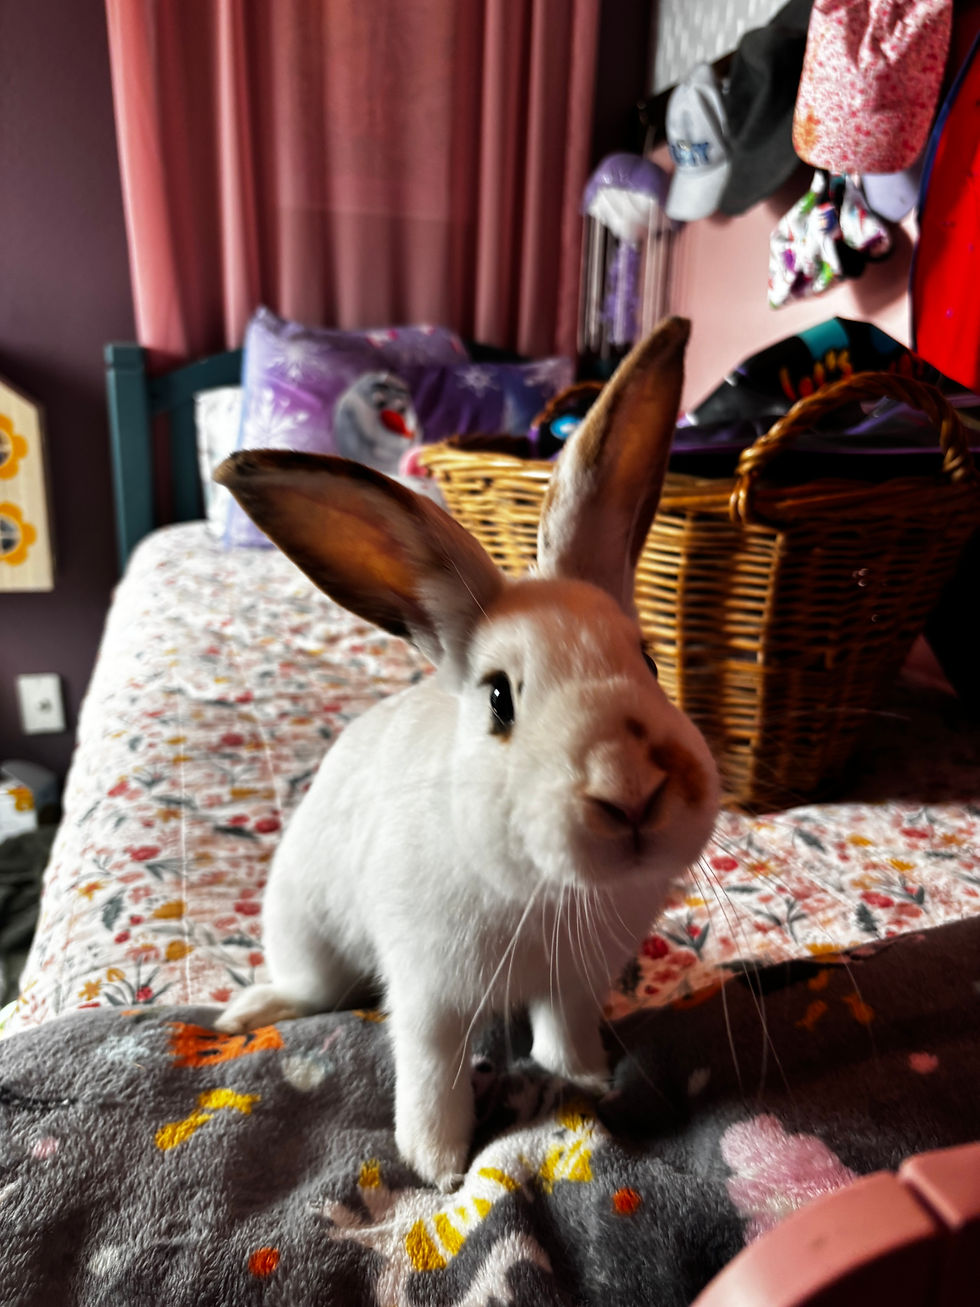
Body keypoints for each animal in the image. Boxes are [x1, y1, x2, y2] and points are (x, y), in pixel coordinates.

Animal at [213, 316, 720, 1190]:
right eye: (498, 699)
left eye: (651, 664)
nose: (628, 786)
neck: (547, 893)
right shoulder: (429, 993)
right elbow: (431, 1070)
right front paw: (438, 1167)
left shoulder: (575, 983)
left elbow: (564, 1033)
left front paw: (586, 1080)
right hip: (304, 930)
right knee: (313, 989)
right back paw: (250, 1009)